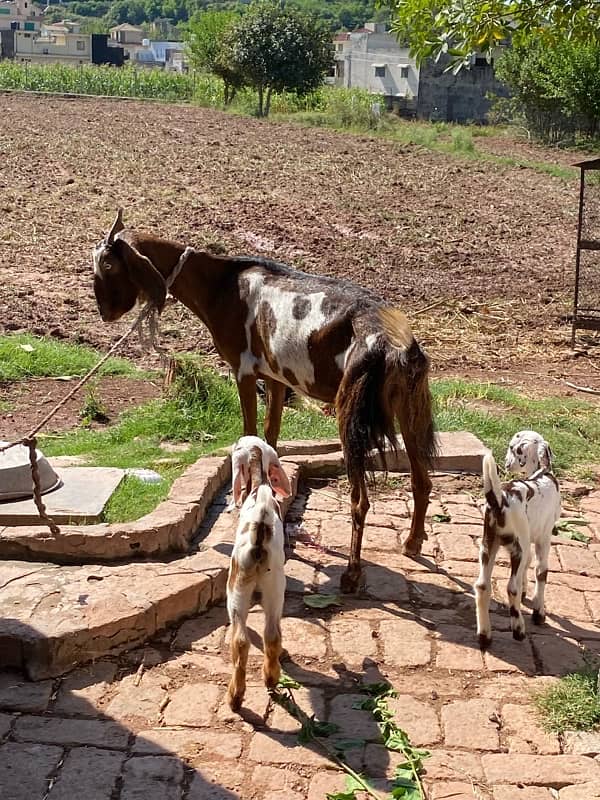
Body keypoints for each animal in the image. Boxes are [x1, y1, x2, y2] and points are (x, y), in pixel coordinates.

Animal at [92, 209, 436, 592]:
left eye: (107, 264)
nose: (104, 311)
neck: (220, 284)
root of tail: (395, 343)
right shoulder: (274, 378)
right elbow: (269, 436)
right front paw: (271, 498)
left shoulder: (243, 371)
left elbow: (249, 435)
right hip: (409, 407)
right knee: (422, 480)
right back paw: (412, 544)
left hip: (350, 416)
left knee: (360, 499)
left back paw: (352, 574)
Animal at [476, 432, 560, 648]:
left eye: (513, 449)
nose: (506, 463)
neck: (542, 474)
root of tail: (499, 500)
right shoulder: (544, 538)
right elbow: (541, 572)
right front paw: (539, 612)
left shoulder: (529, 540)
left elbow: (527, 567)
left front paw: (525, 592)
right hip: (517, 546)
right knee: (510, 588)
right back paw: (518, 629)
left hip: (489, 545)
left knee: (482, 586)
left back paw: (485, 635)